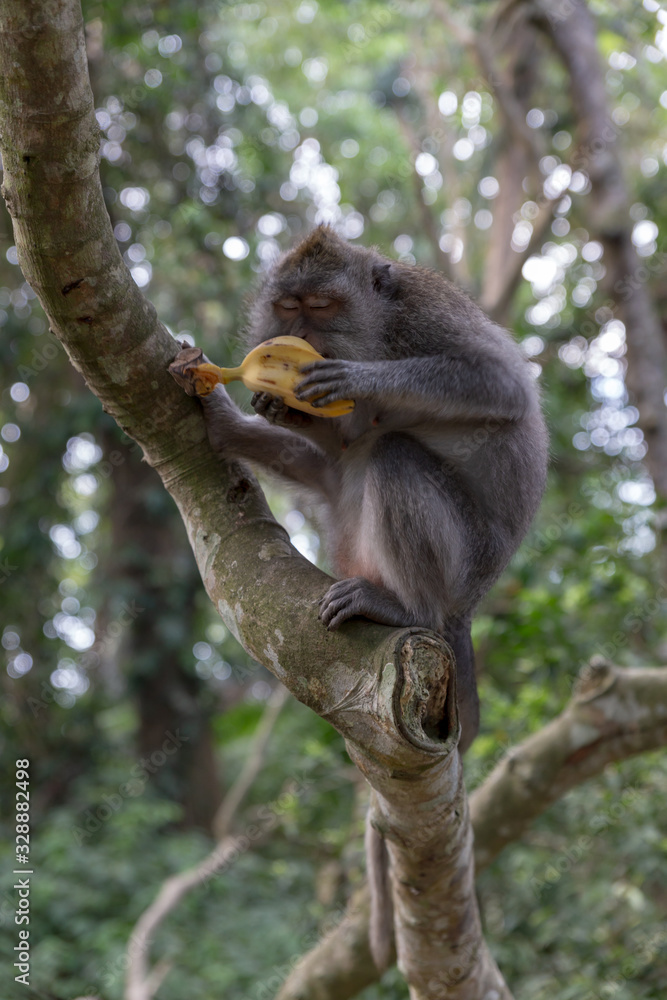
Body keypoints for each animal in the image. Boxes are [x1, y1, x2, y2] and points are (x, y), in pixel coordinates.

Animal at [178, 224, 548, 968]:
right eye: (288, 309)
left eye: (322, 307)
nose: (297, 337)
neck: (378, 328)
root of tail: (468, 603)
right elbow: (338, 441)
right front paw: (262, 404)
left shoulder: (426, 315)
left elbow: (500, 382)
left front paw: (357, 381)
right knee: (345, 463)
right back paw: (231, 428)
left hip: (457, 565)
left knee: (389, 454)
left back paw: (405, 608)